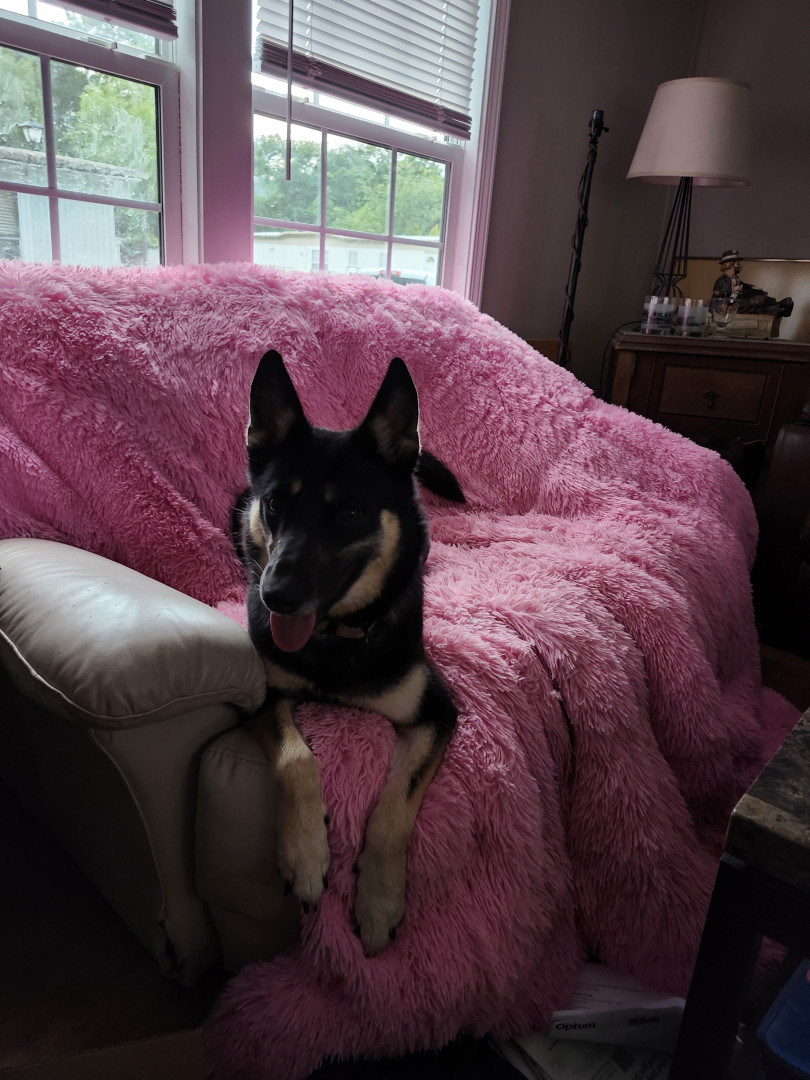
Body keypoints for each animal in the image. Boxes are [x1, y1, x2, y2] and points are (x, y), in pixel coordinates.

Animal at [233, 350, 464, 956]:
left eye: (352, 513)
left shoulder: (438, 710)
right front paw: (306, 853)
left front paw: (380, 899)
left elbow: (397, 804)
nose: (275, 594)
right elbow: (296, 758)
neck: (335, 636)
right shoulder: (266, 694)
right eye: (276, 503)